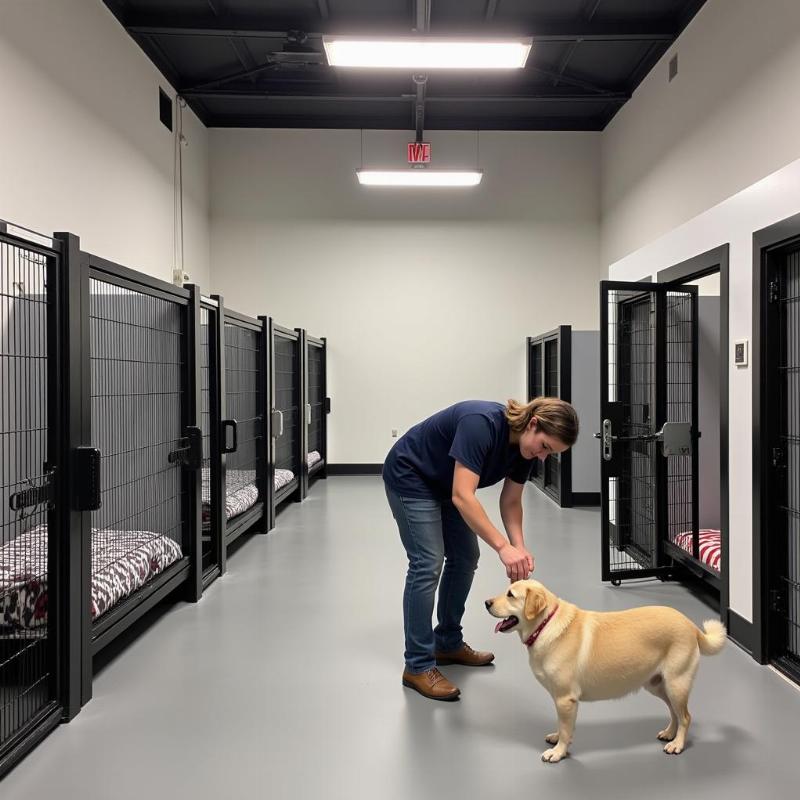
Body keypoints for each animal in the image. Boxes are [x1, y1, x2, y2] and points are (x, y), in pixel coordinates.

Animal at [484, 580, 728, 760]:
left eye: (510, 595)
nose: (486, 602)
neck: (545, 624)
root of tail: (691, 626)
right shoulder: (560, 700)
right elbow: (562, 726)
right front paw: (558, 738)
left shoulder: (565, 699)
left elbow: (566, 728)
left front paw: (559, 752)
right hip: (659, 685)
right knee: (674, 713)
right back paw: (670, 734)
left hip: (676, 684)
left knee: (685, 716)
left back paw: (677, 744)